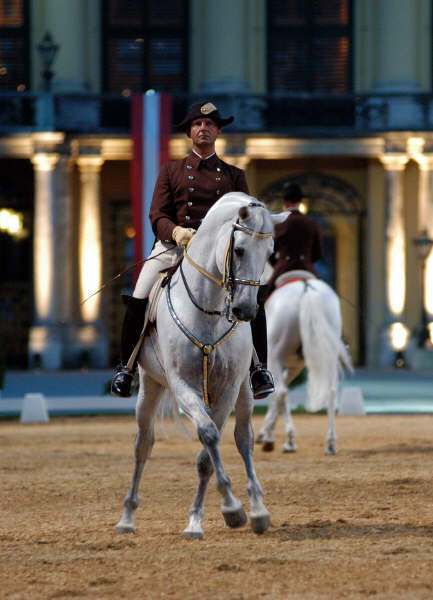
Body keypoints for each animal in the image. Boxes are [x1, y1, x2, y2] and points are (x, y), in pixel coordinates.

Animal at [115, 193, 286, 540]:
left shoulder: (228, 388)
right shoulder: (183, 386)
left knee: (244, 439)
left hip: (244, 392)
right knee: (143, 445)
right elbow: (207, 436)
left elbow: (209, 452)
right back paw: (127, 517)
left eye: (269, 253)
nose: (246, 311)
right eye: (239, 249)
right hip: (150, 385)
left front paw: (226, 512)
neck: (209, 308)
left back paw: (258, 509)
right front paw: (228, 509)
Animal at [256, 274, 352, 454]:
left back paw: (289, 441)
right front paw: (266, 432)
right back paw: (330, 443)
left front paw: (267, 436)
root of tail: (306, 287)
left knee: (281, 392)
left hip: (274, 355)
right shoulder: (295, 366)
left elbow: (276, 395)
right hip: (328, 355)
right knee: (331, 391)